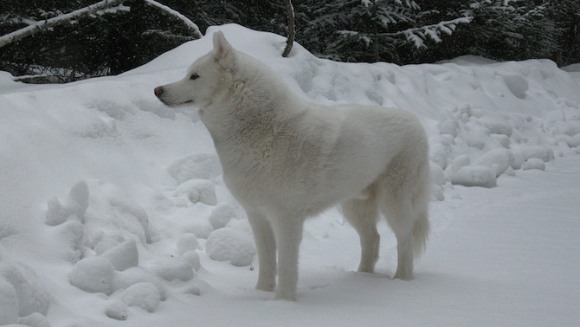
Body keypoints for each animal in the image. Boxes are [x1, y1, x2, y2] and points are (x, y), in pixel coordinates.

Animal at [154, 31, 430, 302]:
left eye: (194, 76)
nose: (157, 90)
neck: (261, 130)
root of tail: (416, 122)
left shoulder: (287, 218)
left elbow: (286, 265)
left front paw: (284, 302)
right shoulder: (257, 216)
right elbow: (267, 262)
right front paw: (262, 294)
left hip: (394, 204)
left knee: (404, 240)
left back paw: (401, 281)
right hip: (354, 207)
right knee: (372, 238)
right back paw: (362, 277)